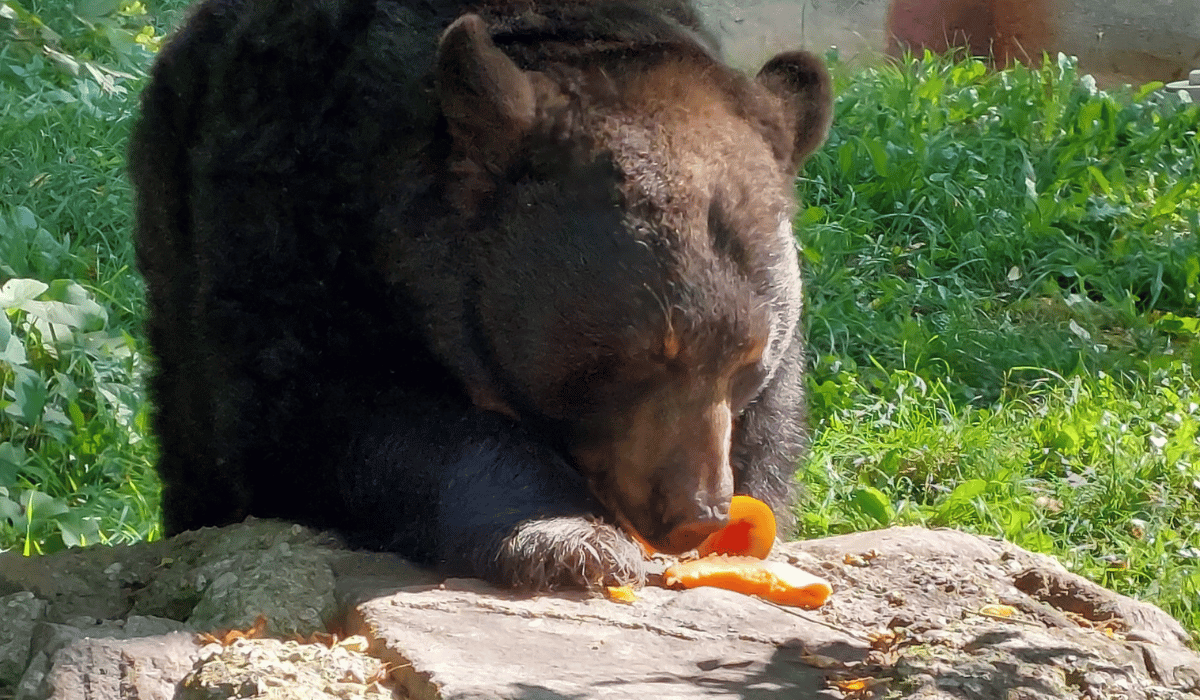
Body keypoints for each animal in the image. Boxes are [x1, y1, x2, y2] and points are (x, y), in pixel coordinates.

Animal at [128, 0, 832, 590]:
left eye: (749, 361)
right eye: (649, 353)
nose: (696, 511)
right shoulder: (288, 220)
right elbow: (310, 410)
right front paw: (569, 540)